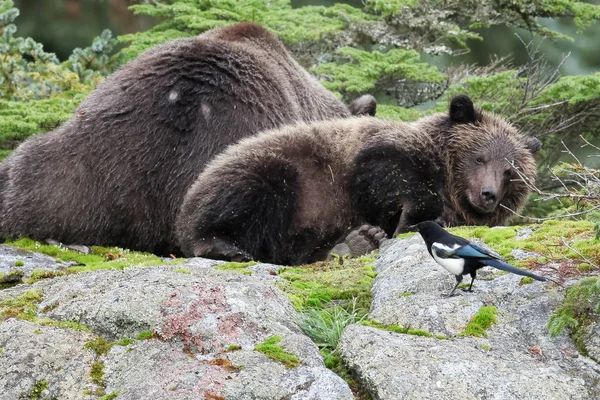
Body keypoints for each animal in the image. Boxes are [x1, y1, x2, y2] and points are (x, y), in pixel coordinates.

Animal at [176, 95, 540, 266]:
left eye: (510, 172)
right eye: (480, 157)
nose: (488, 194)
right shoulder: (373, 154)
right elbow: (388, 176)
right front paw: (404, 220)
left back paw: (355, 241)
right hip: (278, 173)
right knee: (241, 200)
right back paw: (225, 246)